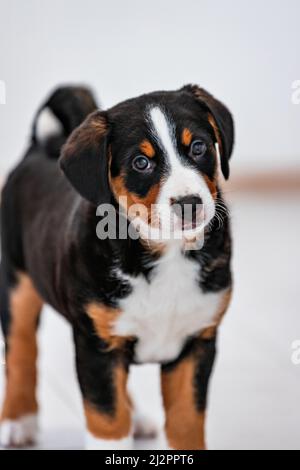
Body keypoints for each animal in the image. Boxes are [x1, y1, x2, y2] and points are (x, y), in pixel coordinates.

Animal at [0, 85, 234, 452]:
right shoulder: (96, 347)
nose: (189, 203)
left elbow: (186, 422)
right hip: (16, 284)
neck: (165, 254)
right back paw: (18, 420)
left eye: (198, 147)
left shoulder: (197, 341)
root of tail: (42, 145)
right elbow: (108, 418)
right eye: (141, 162)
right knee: (21, 351)